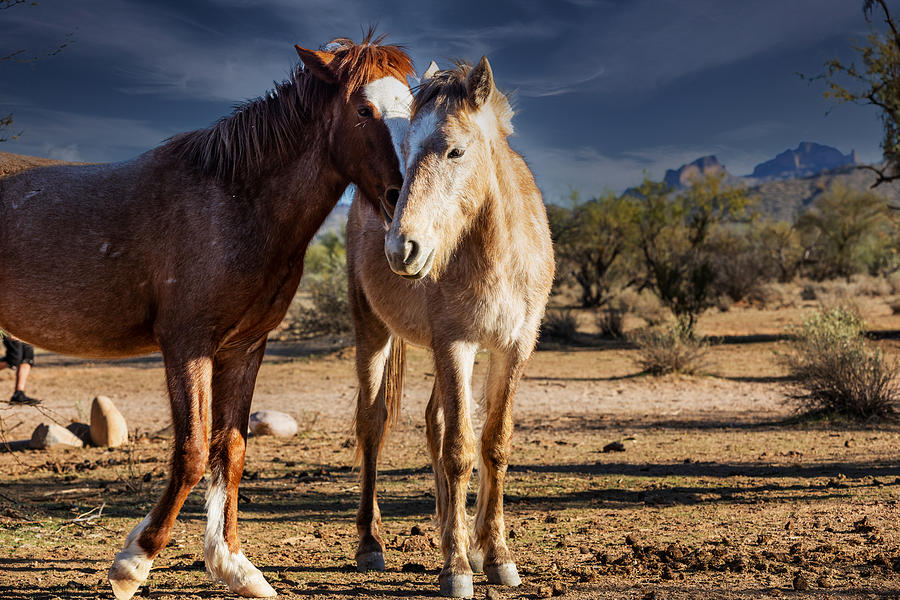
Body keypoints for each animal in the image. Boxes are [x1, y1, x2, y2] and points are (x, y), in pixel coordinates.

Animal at [0, 34, 414, 600]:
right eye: (364, 110)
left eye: (414, 109)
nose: (403, 203)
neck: (232, 202)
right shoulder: (187, 345)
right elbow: (194, 452)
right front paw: (134, 562)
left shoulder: (244, 348)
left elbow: (231, 451)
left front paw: (234, 564)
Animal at [346, 55, 552, 596]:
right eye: (405, 149)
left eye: (455, 150)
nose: (402, 248)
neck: (498, 253)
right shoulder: (455, 343)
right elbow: (461, 450)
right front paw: (457, 567)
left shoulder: (512, 348)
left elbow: (494, 444)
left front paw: (494, 555)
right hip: (373, 332)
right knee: (373, 424)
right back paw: (371, 544)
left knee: (434, 422)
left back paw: (450, 532)